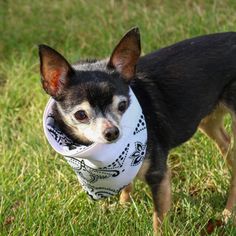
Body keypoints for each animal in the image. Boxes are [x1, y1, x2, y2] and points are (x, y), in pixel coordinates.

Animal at [39, 27, 236, 232]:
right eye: (80, 115)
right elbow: (127, 185)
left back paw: (228, 214)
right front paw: (123, 207)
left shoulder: (159, 177)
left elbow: (158, 220)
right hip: (208, 119)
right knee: (228, 148)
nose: (112, 132)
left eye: (122, 105)